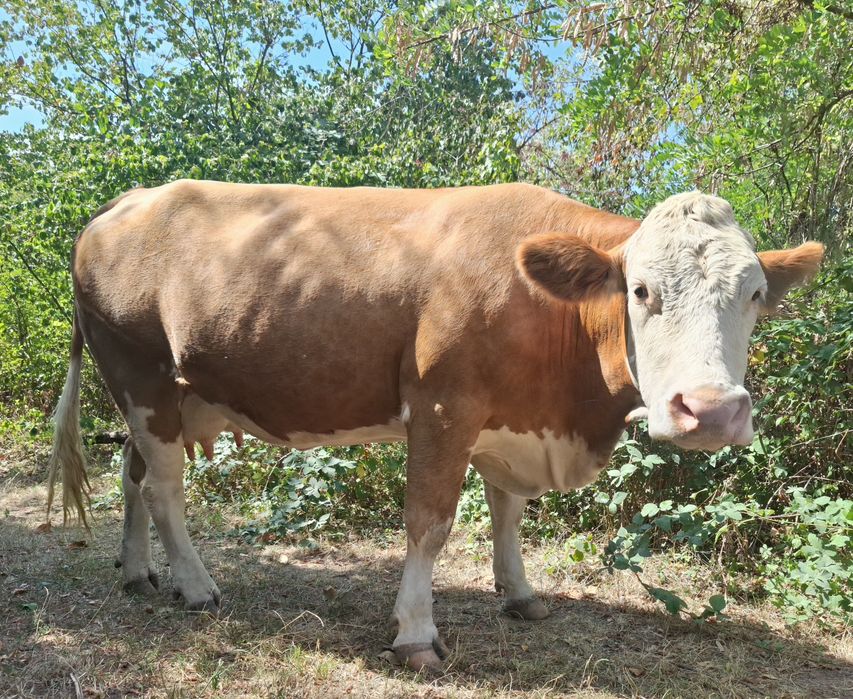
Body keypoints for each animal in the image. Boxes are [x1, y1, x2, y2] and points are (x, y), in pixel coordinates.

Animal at [47, 180, 823, 670]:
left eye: (756, 294)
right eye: (640, 289)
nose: (712, 409)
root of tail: (126, 201)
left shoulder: (511, 421)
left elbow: (508, 514)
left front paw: (520, 594)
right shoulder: (442, 408)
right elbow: (430, 522)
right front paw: (416, 633)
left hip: (160, 396)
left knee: (133, 473)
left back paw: (139, 571)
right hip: (141, 375)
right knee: (165, 487)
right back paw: (196, 583)